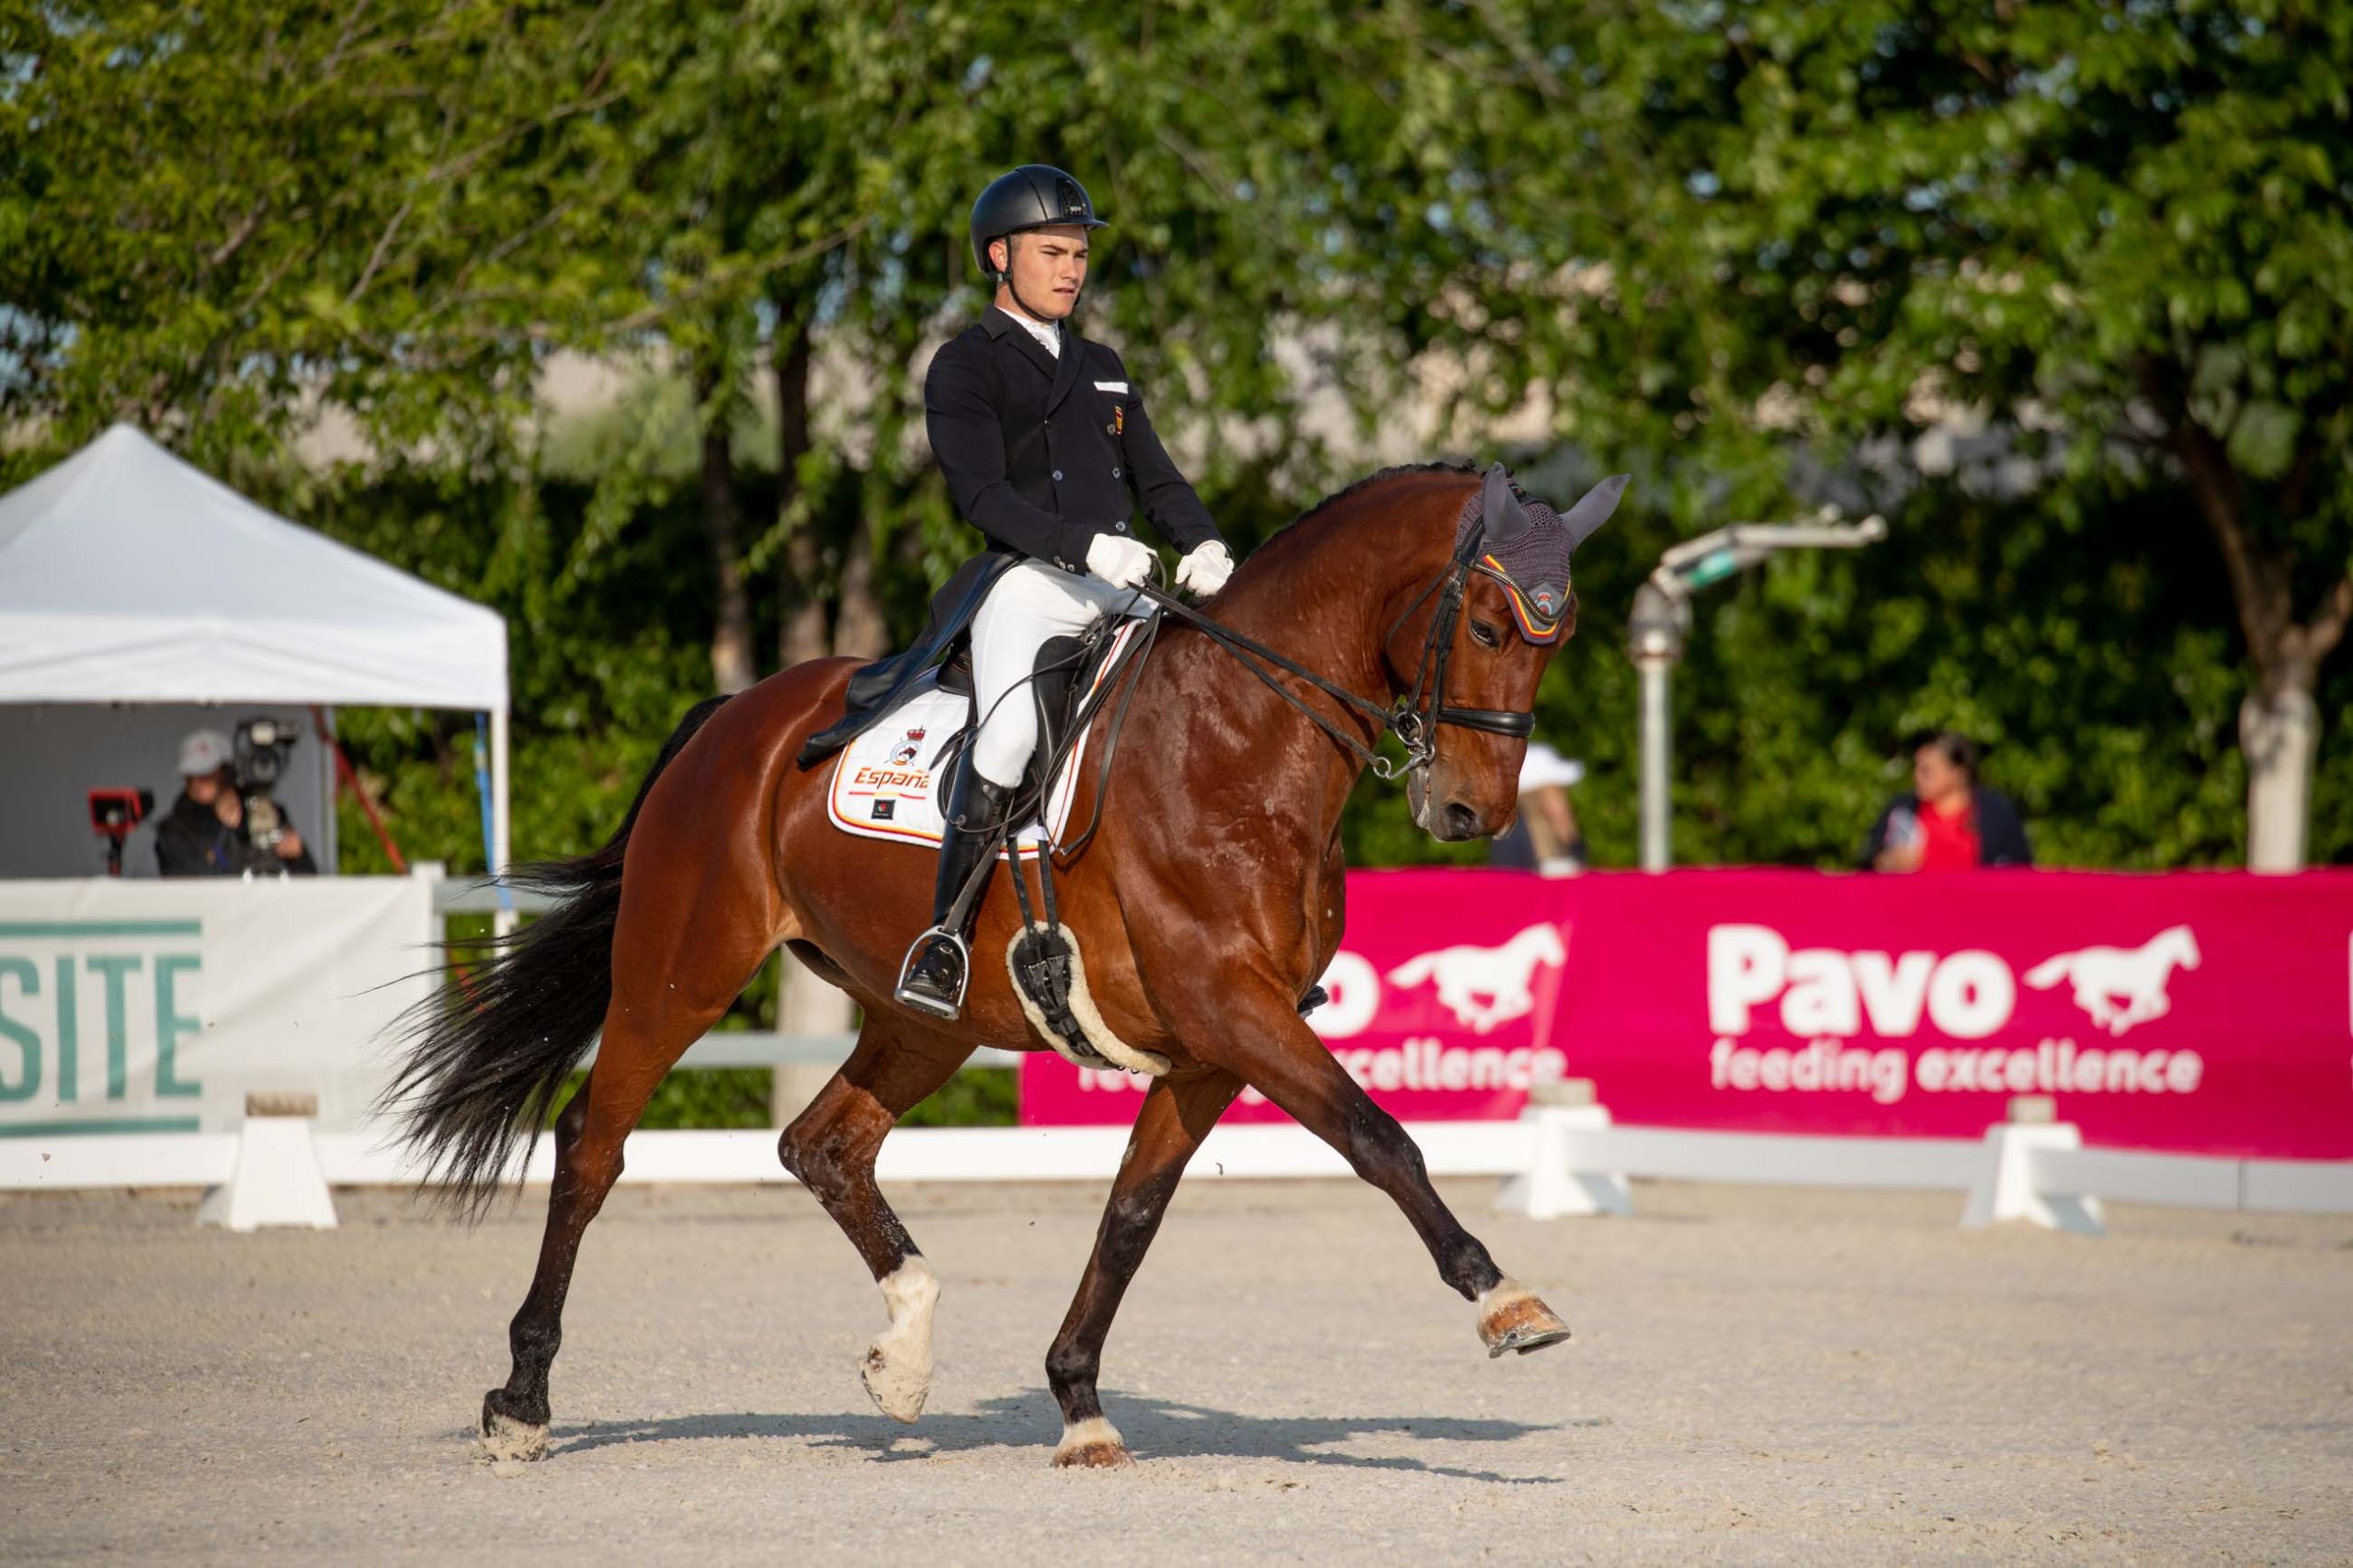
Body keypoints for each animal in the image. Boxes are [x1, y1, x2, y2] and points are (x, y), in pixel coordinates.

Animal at [390, 459, 1619, 1460]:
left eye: (1557, 642)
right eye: (1492, 630)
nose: (1467, 812)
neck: (1242, 737)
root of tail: (734, 717)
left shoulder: (1213, 1044)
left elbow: (1131, 1214)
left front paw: (1077, 1402)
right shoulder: (1233, 1006)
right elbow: (1380, 1138)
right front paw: (1505, 1299)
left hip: (922, 1015)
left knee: (823, 1144)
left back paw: (903, 1355)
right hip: (679, 972)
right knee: (591, 1149)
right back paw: (522, 1399)